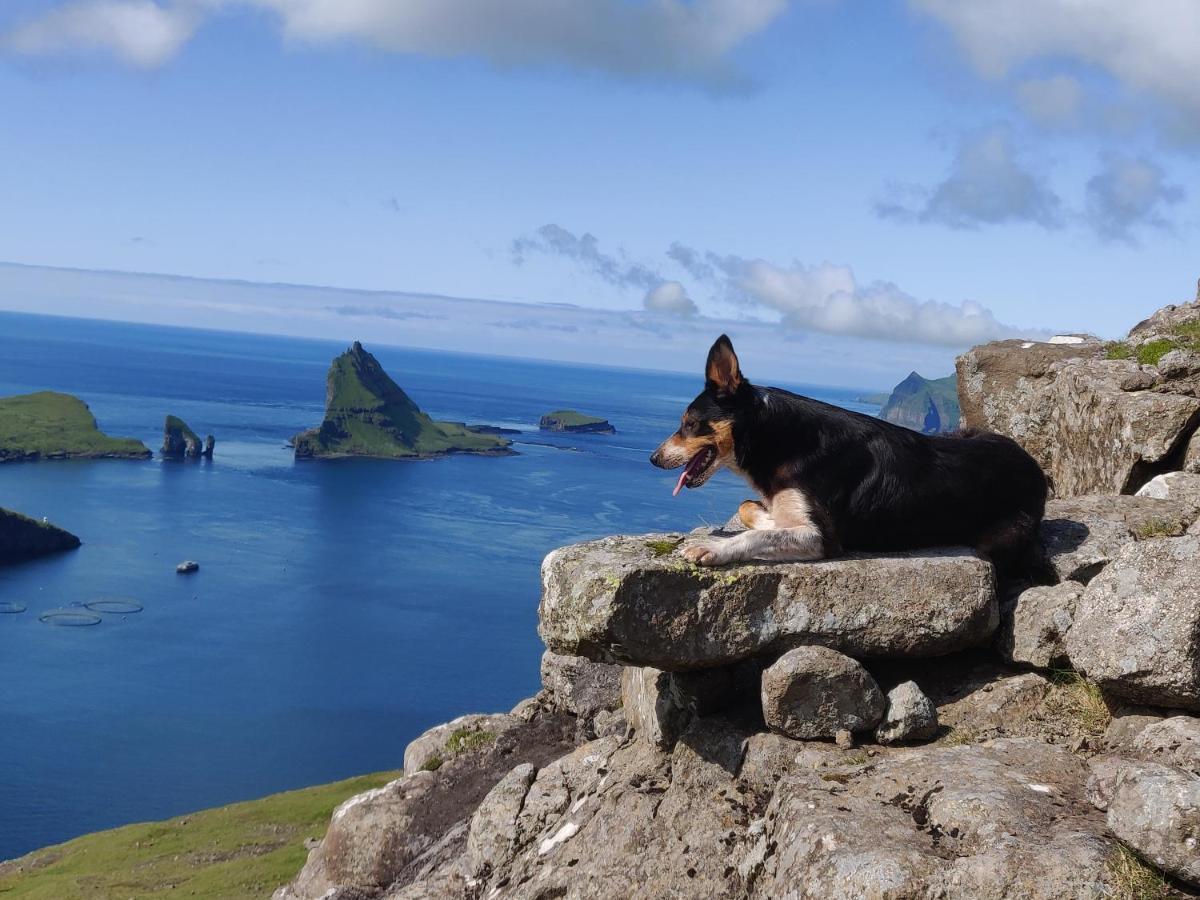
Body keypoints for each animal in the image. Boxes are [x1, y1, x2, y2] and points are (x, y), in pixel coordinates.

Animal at [648, 336, 1051, 573]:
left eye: (688, 424)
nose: (653, 459)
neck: (777, 437)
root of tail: (1033, 466)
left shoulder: (824, 539)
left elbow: (755, 535)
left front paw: (712, 547)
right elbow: (750, 508)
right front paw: (770, 517)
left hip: (1002, 535)